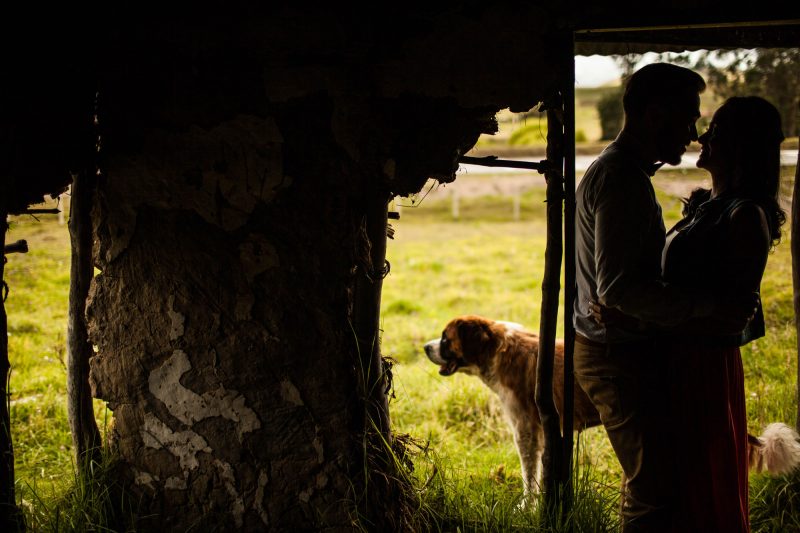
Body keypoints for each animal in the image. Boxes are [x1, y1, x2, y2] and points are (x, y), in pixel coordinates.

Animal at [424, 316, 800, 494]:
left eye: (445, 339)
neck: (497, 347)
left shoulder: (527, 432)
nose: (426, 347)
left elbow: (530, 476)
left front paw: (526, 507)